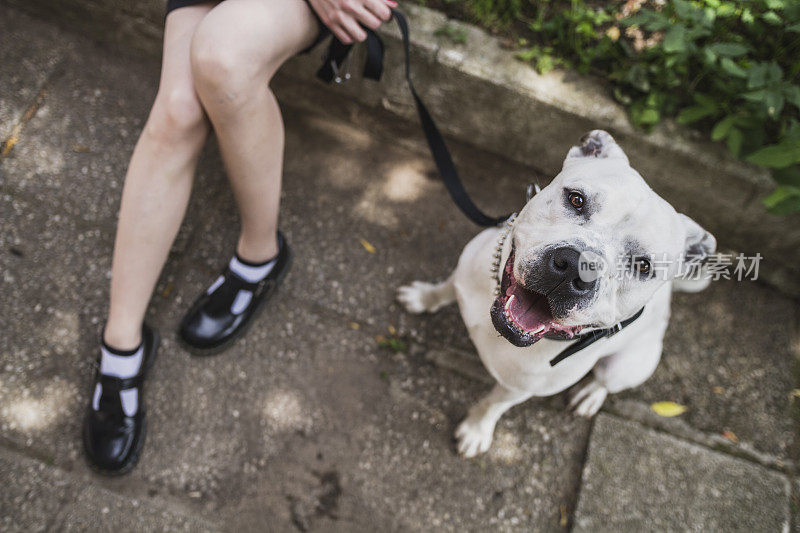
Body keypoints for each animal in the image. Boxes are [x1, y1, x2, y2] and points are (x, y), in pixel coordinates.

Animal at [396, 131, 716, 456]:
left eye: (643, 265)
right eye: (576, 199)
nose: (575, 267)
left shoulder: (517, 390)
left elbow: (492, 405)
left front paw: (476, 430)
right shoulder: (462, 274)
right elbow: (445, 288)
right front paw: (423, 298)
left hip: (625, 367)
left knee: (605, 381)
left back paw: (590, 395)